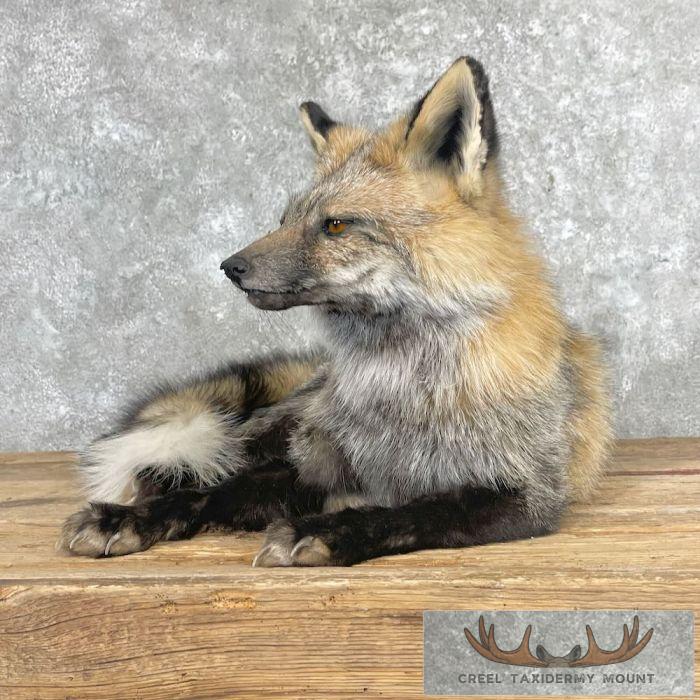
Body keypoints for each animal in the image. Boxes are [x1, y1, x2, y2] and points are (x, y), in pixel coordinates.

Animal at [59, 56, 612, 566]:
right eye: (284, 219)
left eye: (336, 226)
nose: (230, 267)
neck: (401, 390)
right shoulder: (311, 464)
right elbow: (214, 495)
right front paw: (129, 519)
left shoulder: (524, 495)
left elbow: (411, 512)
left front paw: (326, 531)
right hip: (279, 427)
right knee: (198, 459)